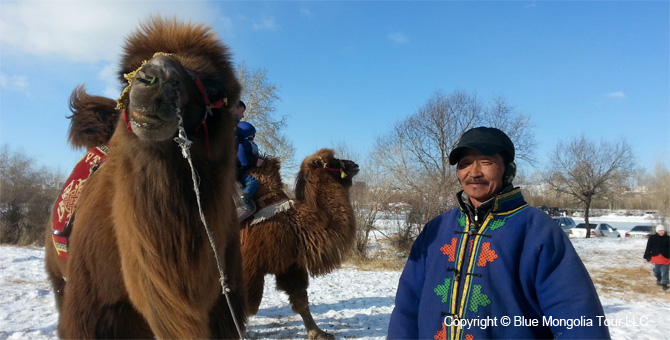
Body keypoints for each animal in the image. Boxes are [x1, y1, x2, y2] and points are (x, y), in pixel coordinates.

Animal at [44, 17, 247, 338]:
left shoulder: (225, 309)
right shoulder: (94, 315)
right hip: (58, 279)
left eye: (214, 87)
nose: (154, 77)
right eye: (127, 75)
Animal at [240, 149, 356, 340]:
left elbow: (300, 300)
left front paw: (318, 333)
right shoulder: (250, 268)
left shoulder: (290, 264)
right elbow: (245, 307)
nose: (354, 164)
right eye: (332, 161)